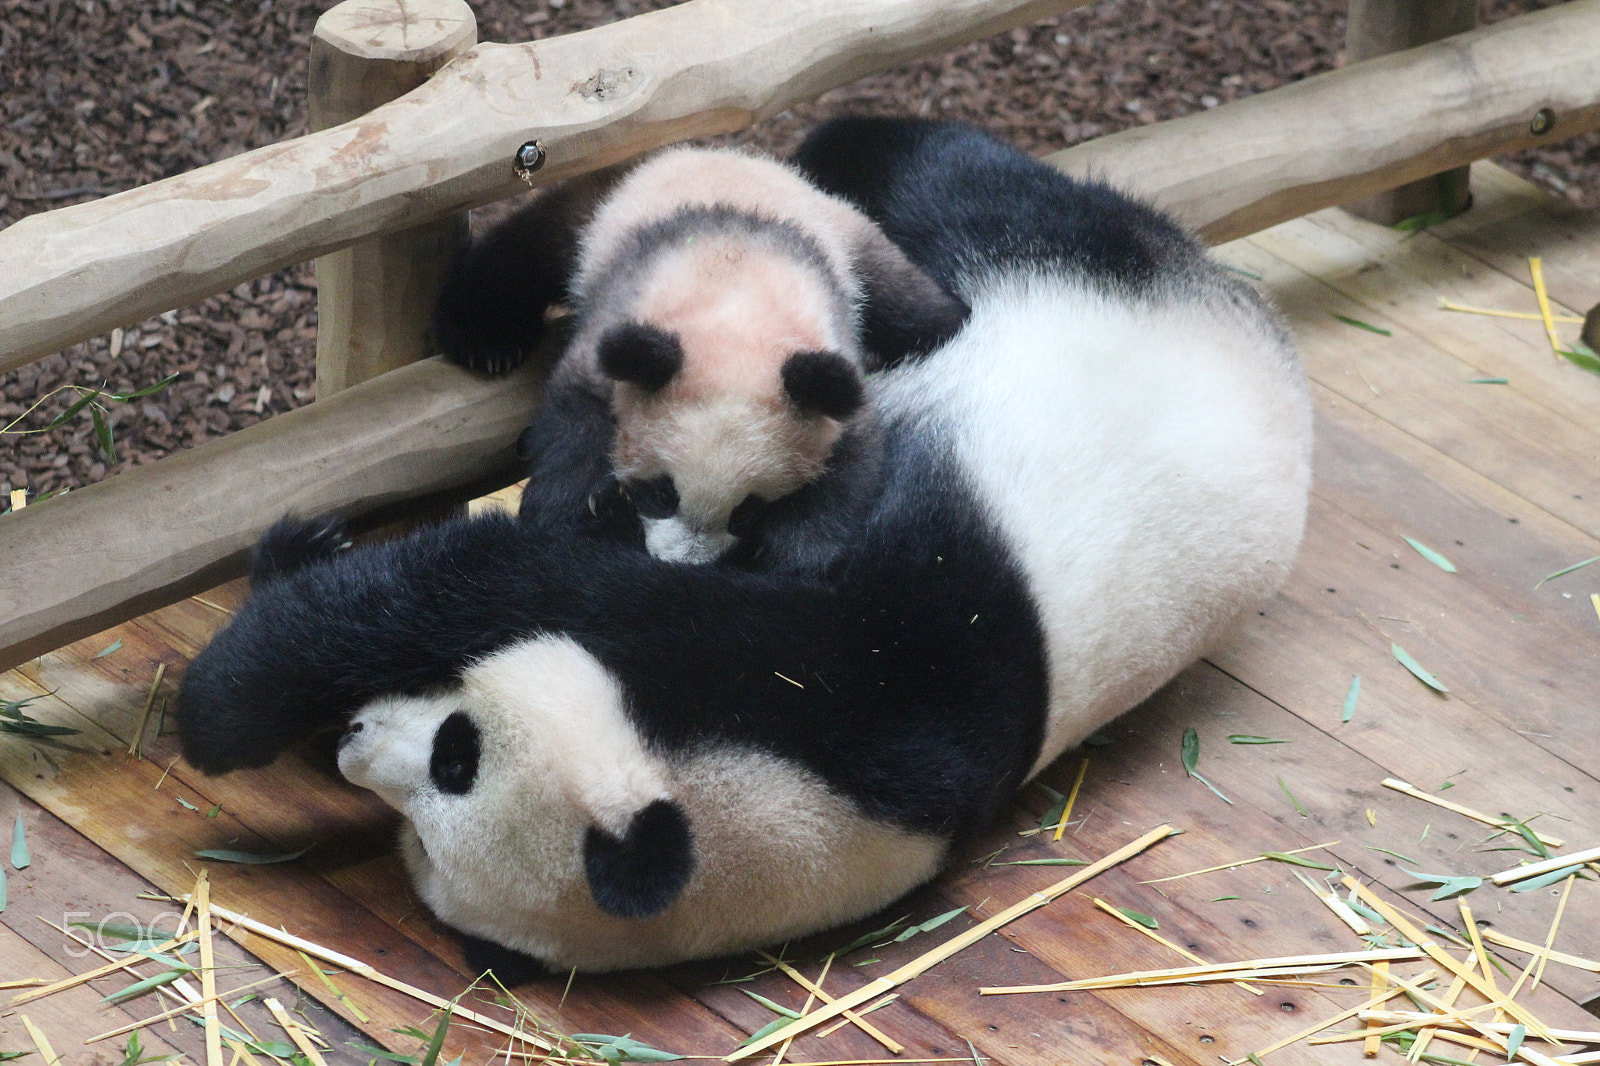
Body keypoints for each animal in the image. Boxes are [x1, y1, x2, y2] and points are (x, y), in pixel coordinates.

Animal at [434, 146, 968, 570]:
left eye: (747, 510)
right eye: (661, 493)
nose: (682, 563)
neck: (736, 321)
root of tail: (725, 152)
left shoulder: (827, 357)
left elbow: (850, 461)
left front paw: (793, 556)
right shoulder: (624, 320)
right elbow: (577, 413)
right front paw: (564, 511)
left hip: (845, 234)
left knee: (899, 296)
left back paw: (948, 320)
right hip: (596, 214)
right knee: (523, 251)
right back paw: (484, 342)